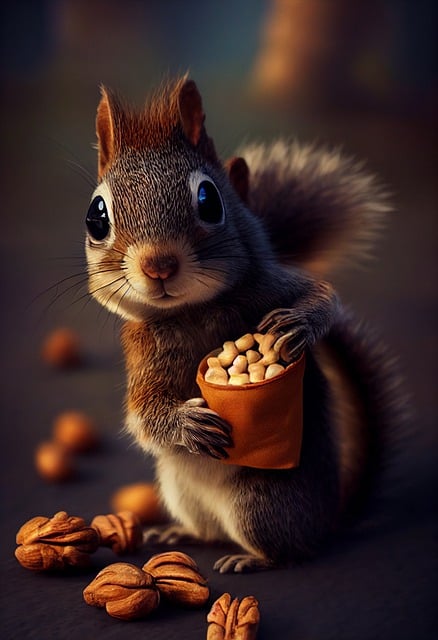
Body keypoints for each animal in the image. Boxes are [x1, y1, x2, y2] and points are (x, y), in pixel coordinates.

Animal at [84, 76, 403, 573]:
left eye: (209, 199)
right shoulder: (141, 354)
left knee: (288, 551)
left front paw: (297, 324)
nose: (158, 265)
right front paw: (187, 425)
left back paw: (250, 559)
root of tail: (326, 522)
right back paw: (179, 533)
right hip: (181, 491)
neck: (195, 311)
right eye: (96, 217)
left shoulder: (272, 282)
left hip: (262, 501)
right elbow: (143, 415)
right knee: (210, 532)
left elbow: (324, 297)